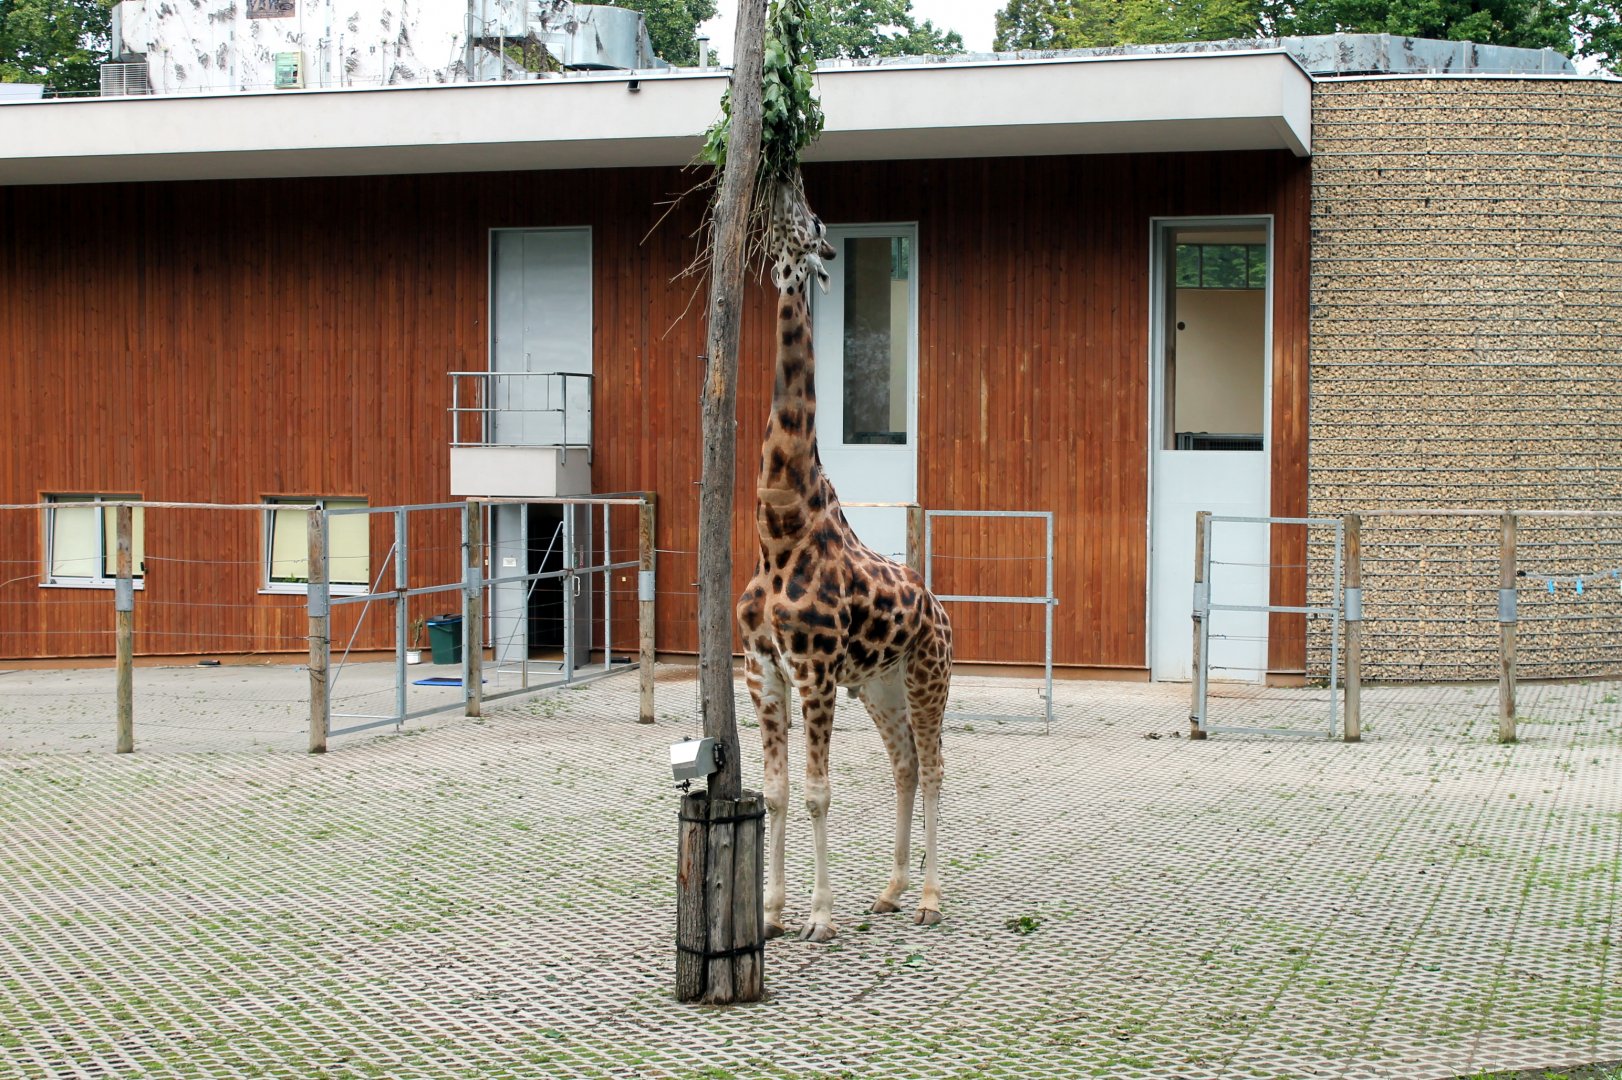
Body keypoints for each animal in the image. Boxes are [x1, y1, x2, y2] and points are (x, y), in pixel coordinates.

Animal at [735, 182, 954, 943]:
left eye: (815, 218)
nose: (778, 190)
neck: (779, 527)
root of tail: (942, 612)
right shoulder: (763, 670)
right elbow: (773, 793)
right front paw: (771, 913)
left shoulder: (815, 669)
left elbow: (816, 793)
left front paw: (819, 917)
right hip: (881, 685)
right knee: (906, 765)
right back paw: (890, 891)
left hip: (926, 677)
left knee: (936, 766)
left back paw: (928, 899)